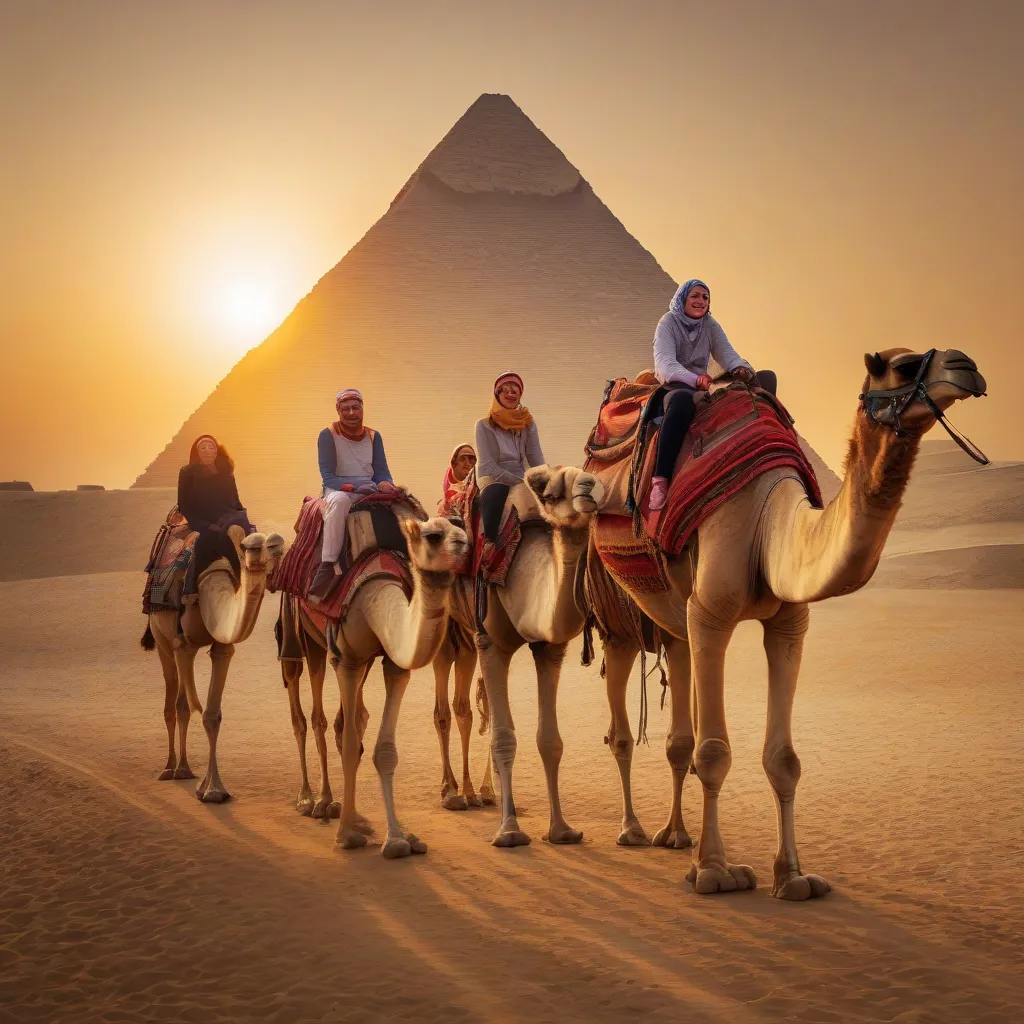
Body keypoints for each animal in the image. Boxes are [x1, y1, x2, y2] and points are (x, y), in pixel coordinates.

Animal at [140, 524, 284, 802]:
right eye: (251, 546)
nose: (277, 544)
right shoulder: (182, 644)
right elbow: (185, 706)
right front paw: (198, 780)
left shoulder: (223, 646)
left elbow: (212, 714)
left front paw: (212, 788)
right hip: (160, 635)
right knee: (172, 694)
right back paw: (172, 767)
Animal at [593, 348, 983, 901]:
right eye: (903, 366)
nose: (966, 365)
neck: (765, 523)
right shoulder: (713, 613)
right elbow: (715, 752)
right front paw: (715, 872)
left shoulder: (787, 624)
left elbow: (784, 760)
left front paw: (792, 876)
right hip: (615, 611)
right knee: (622, 720)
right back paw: (631, 831)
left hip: (674, 616)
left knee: (678, 712)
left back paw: (676, 837)